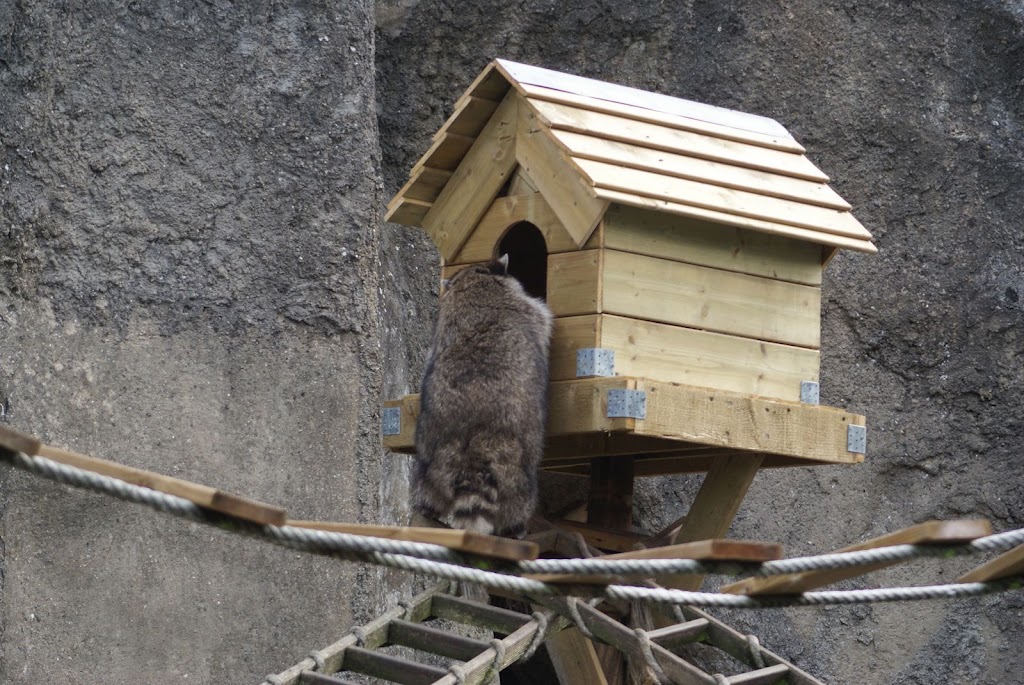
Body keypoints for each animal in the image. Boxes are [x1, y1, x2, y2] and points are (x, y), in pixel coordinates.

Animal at [411, 253, 552, 536]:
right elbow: (542, 318)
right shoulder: (528, 310)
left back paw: (426, 512)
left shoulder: (441, 327)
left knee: (426, 491)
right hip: (516, 468)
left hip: (432, 461)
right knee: (519, 500)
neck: (473, 279)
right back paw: (515, 528)